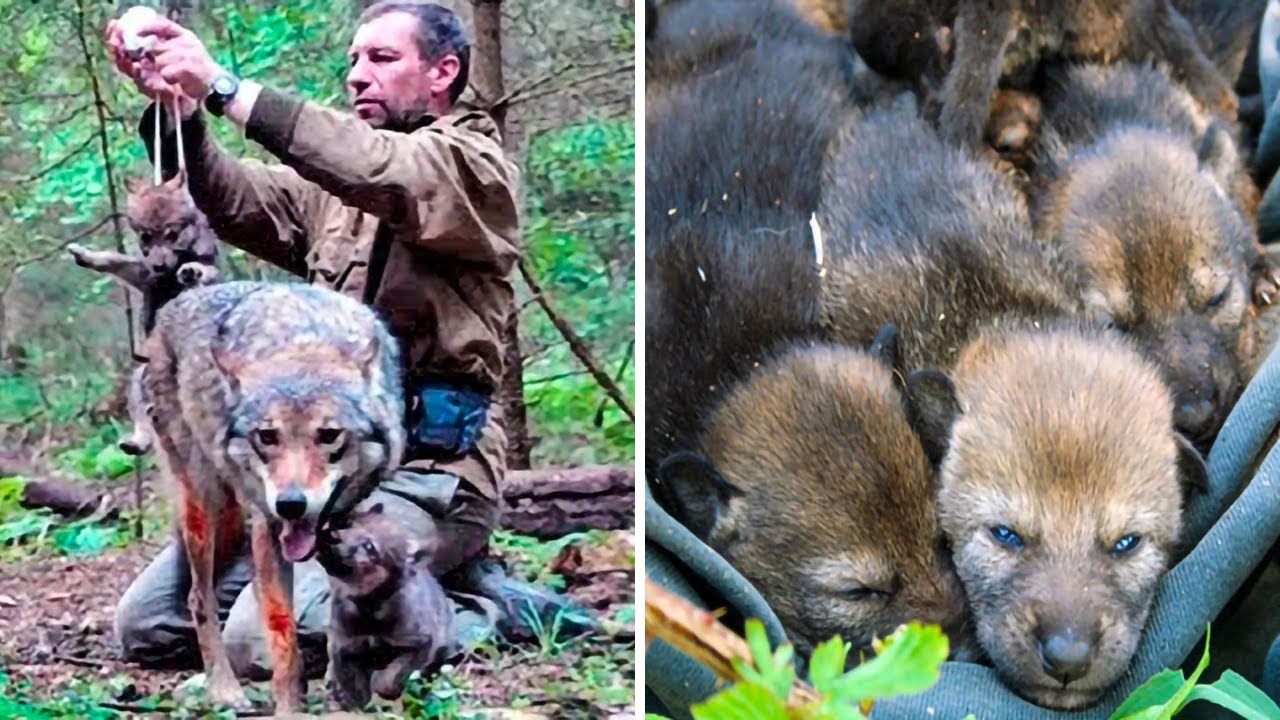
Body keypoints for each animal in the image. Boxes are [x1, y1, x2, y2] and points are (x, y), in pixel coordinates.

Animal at [142, 281, 405, 712]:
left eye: (329, 435)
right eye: (267, 436)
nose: (291, 505)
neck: (303, 342)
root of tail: (174, 304)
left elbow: (341, 619)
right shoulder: (268, 532)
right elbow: (284, 638)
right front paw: (290, 707)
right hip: (205, 506)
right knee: (200, 599)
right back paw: (224, 690)